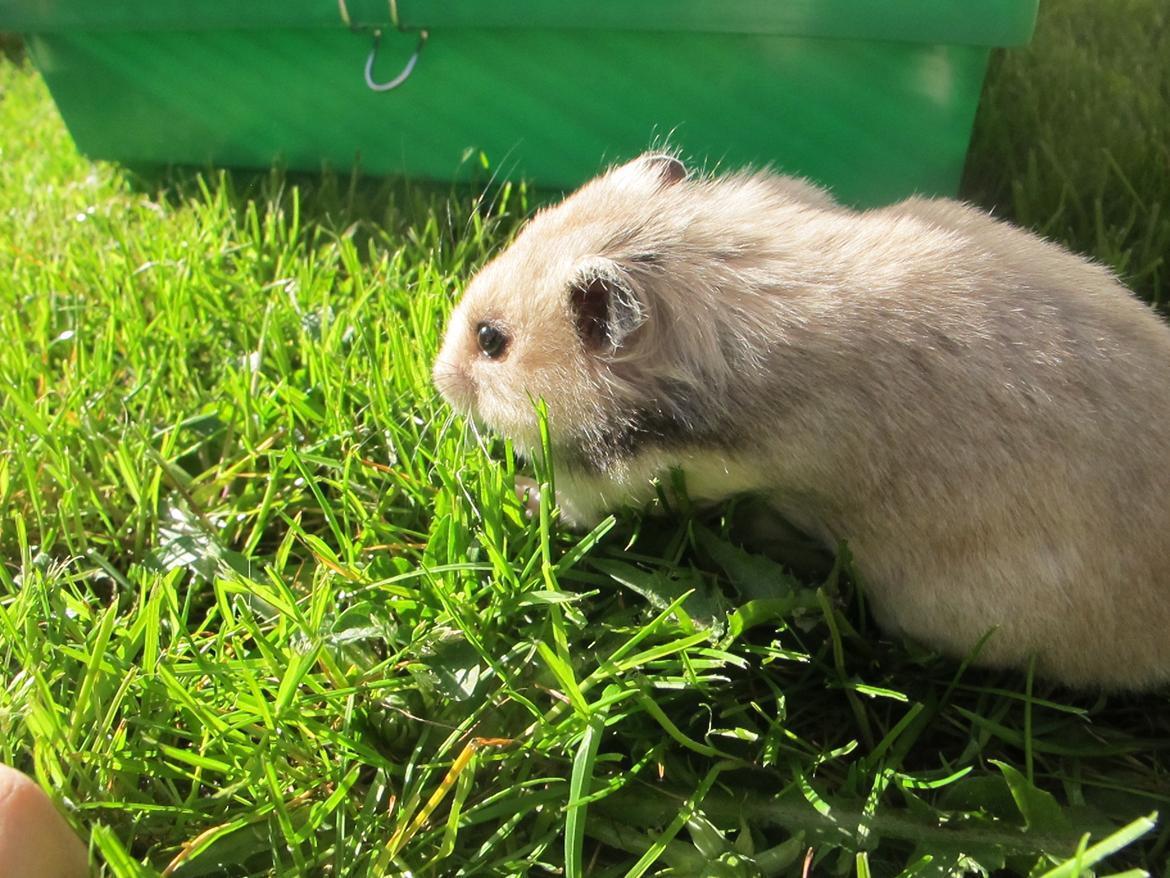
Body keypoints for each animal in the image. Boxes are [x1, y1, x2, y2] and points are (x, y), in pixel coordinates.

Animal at [432, 152, 1170, 690]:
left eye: (491, 341)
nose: (437, 380)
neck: (705, 272)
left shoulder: (653, 475)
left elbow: (576, 504)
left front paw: (515, 493)